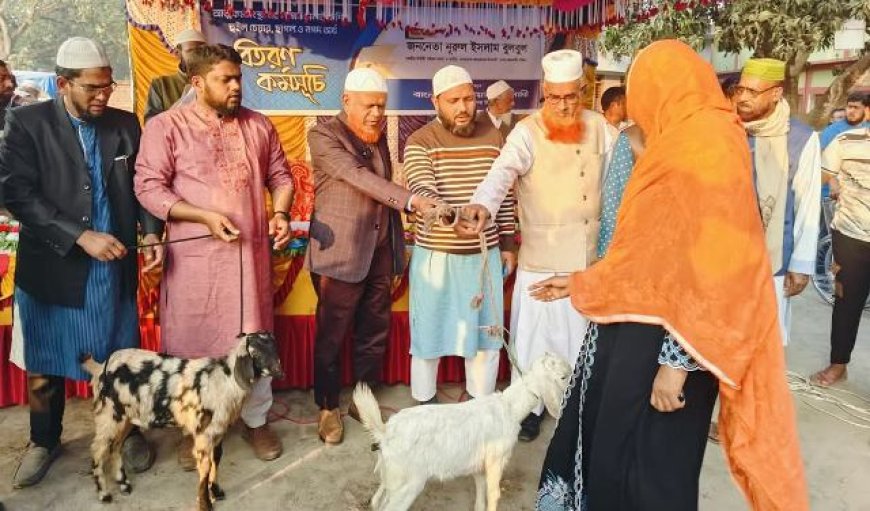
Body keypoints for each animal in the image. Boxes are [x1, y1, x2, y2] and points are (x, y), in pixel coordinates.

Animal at [79, 330, 282, 510]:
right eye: (256, 353)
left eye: (274, 347)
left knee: (115, 447)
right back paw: (104, 494)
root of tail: (101, 367)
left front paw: (216, 492)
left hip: (125, 418)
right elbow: (205, 470)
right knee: (97, 450)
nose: (280, 371)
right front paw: (205, 504)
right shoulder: (203, 436)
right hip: (108, 416)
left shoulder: (218, 433)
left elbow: (216, 462)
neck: (225, 380)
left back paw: (124, 485)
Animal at [350, 354, 576, 510]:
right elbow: (493, 495)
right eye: (563, 376)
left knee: (377, 501)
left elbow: (480, 494)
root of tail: (385, 432)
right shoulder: (496, 461)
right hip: (408, 485)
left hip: (391, 478)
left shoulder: (479, 465)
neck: (509, 407)